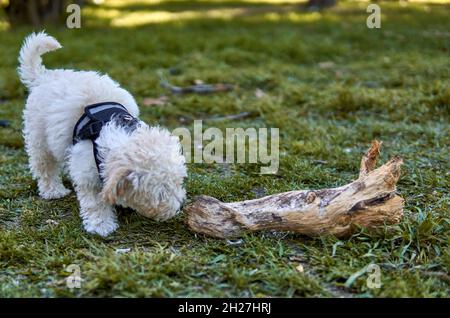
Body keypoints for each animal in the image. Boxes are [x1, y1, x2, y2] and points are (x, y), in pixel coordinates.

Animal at [18, 32, 187, 236]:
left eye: (179, 182)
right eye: (161, 193)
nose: (180, 206)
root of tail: (44, 76)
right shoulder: (87, 173)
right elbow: (94, 202)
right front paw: (101, 225)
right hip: (38, 137)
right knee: (44, 166)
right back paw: (53, 190)